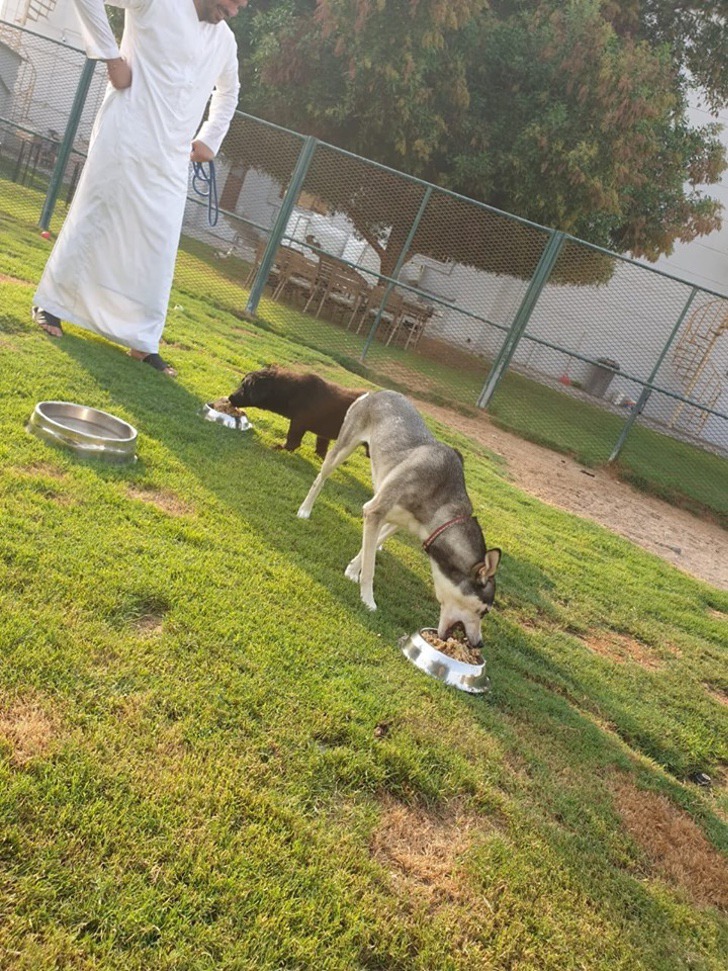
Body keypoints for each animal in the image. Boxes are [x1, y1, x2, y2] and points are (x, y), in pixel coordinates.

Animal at [229, 368, 366, 460]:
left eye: (244, 387)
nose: (230, 397)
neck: (293, 392)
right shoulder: (322, 433)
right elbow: (322, 447)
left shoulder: (298, 423)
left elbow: (293, 441)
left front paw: (280, 448)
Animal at [296, 388, 500, 644]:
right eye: (483, 611)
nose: (479, 643)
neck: (442, 502)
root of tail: (377, 392)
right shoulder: (375, 511)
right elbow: (370, 567)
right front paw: (368, 600)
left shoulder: (403, 522)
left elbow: (370, 547)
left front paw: (353, 569)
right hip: (343, 448)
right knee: (320, 479)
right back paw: (305, 509)